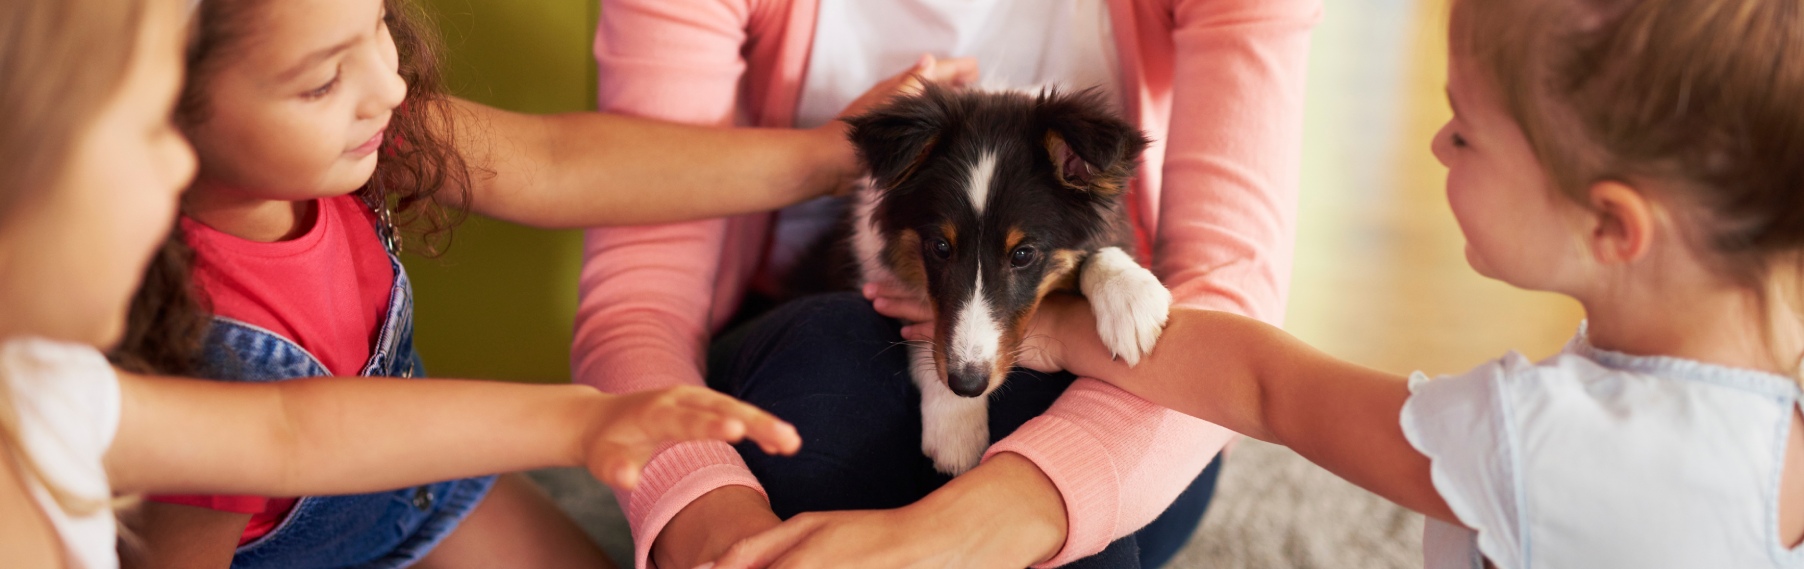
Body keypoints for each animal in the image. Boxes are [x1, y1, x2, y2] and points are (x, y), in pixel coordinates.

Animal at [840, 84, 1168, 473]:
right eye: (940, 246)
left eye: (1023, 254)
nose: (967, 384)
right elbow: (924, 334)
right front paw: (956, 424)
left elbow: (1100, 254)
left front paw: (1131, 299)